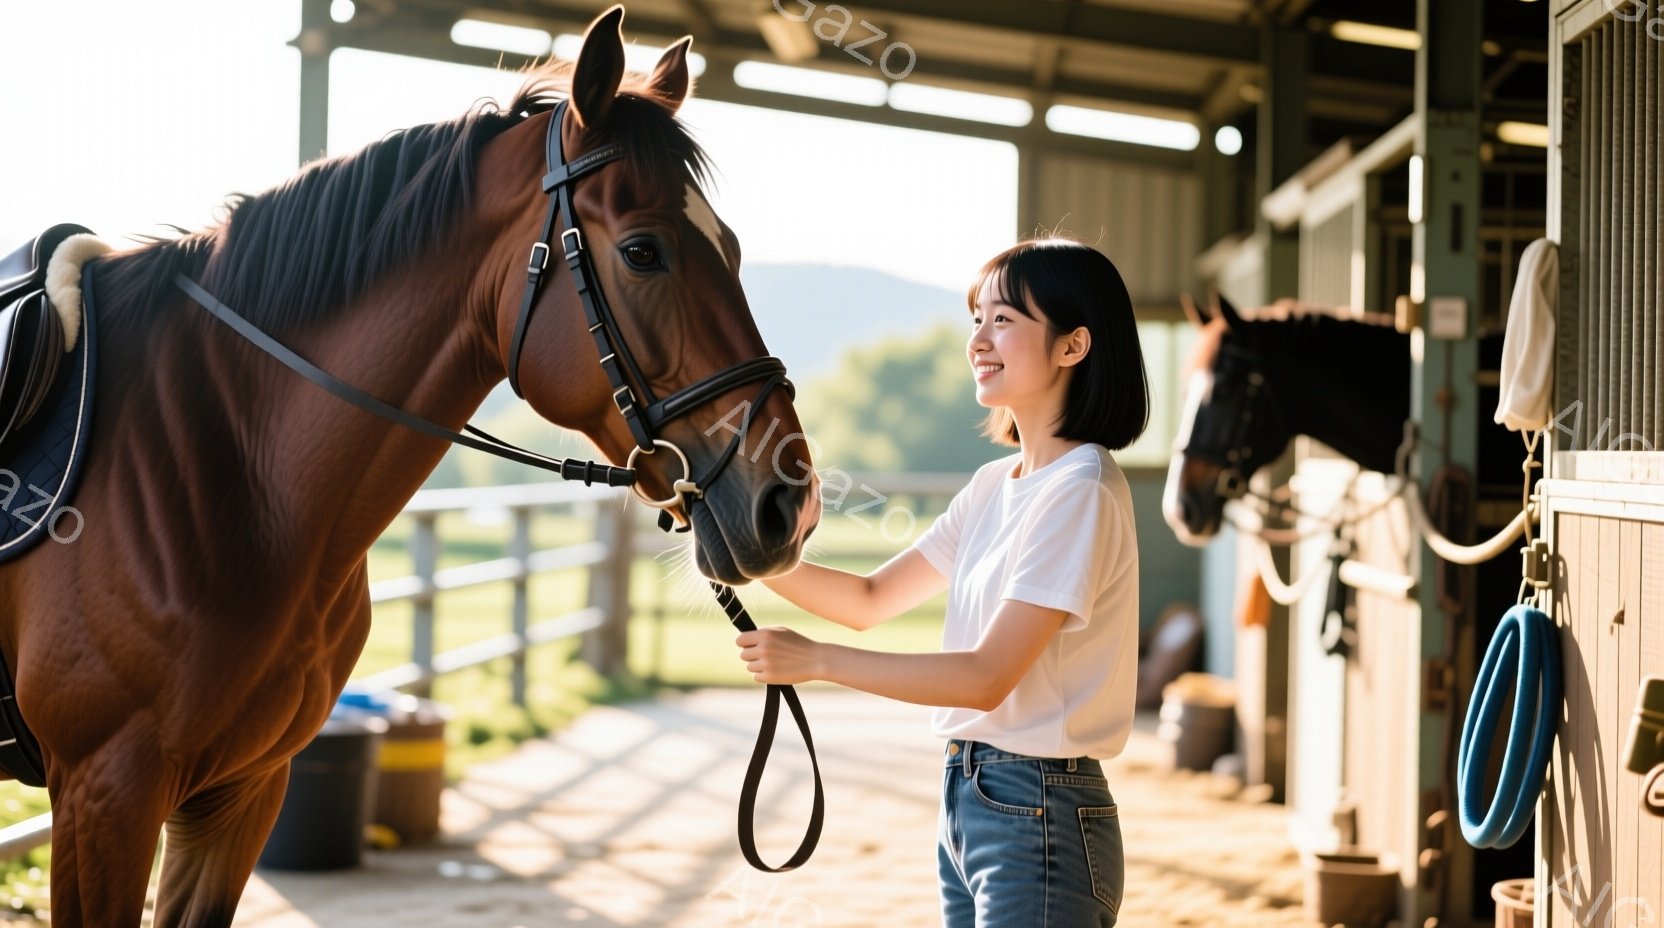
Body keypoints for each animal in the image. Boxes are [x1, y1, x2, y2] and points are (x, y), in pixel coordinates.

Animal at [0, 7, 818, 925]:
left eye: (733, 248)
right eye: (644, 251)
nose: (789, 500)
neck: (226, 464)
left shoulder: (238, 793)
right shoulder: (106, 794)